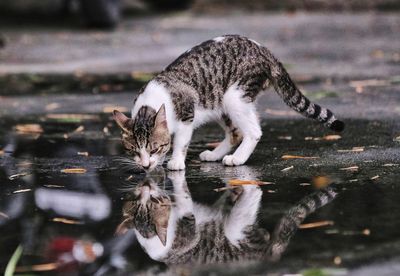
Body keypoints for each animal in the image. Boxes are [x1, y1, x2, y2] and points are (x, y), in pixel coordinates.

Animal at [112, 34, 344, 170]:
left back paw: (238, 158)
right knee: (235, 133)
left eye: (153, 149)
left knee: (253, 131)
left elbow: (181, 141)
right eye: (133, 150)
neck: (149, 105)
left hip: (235, 96)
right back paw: (215, 154)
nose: (144, 165)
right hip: (220, 103)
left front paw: (176, 161)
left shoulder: (187, 115)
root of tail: (265, 51)